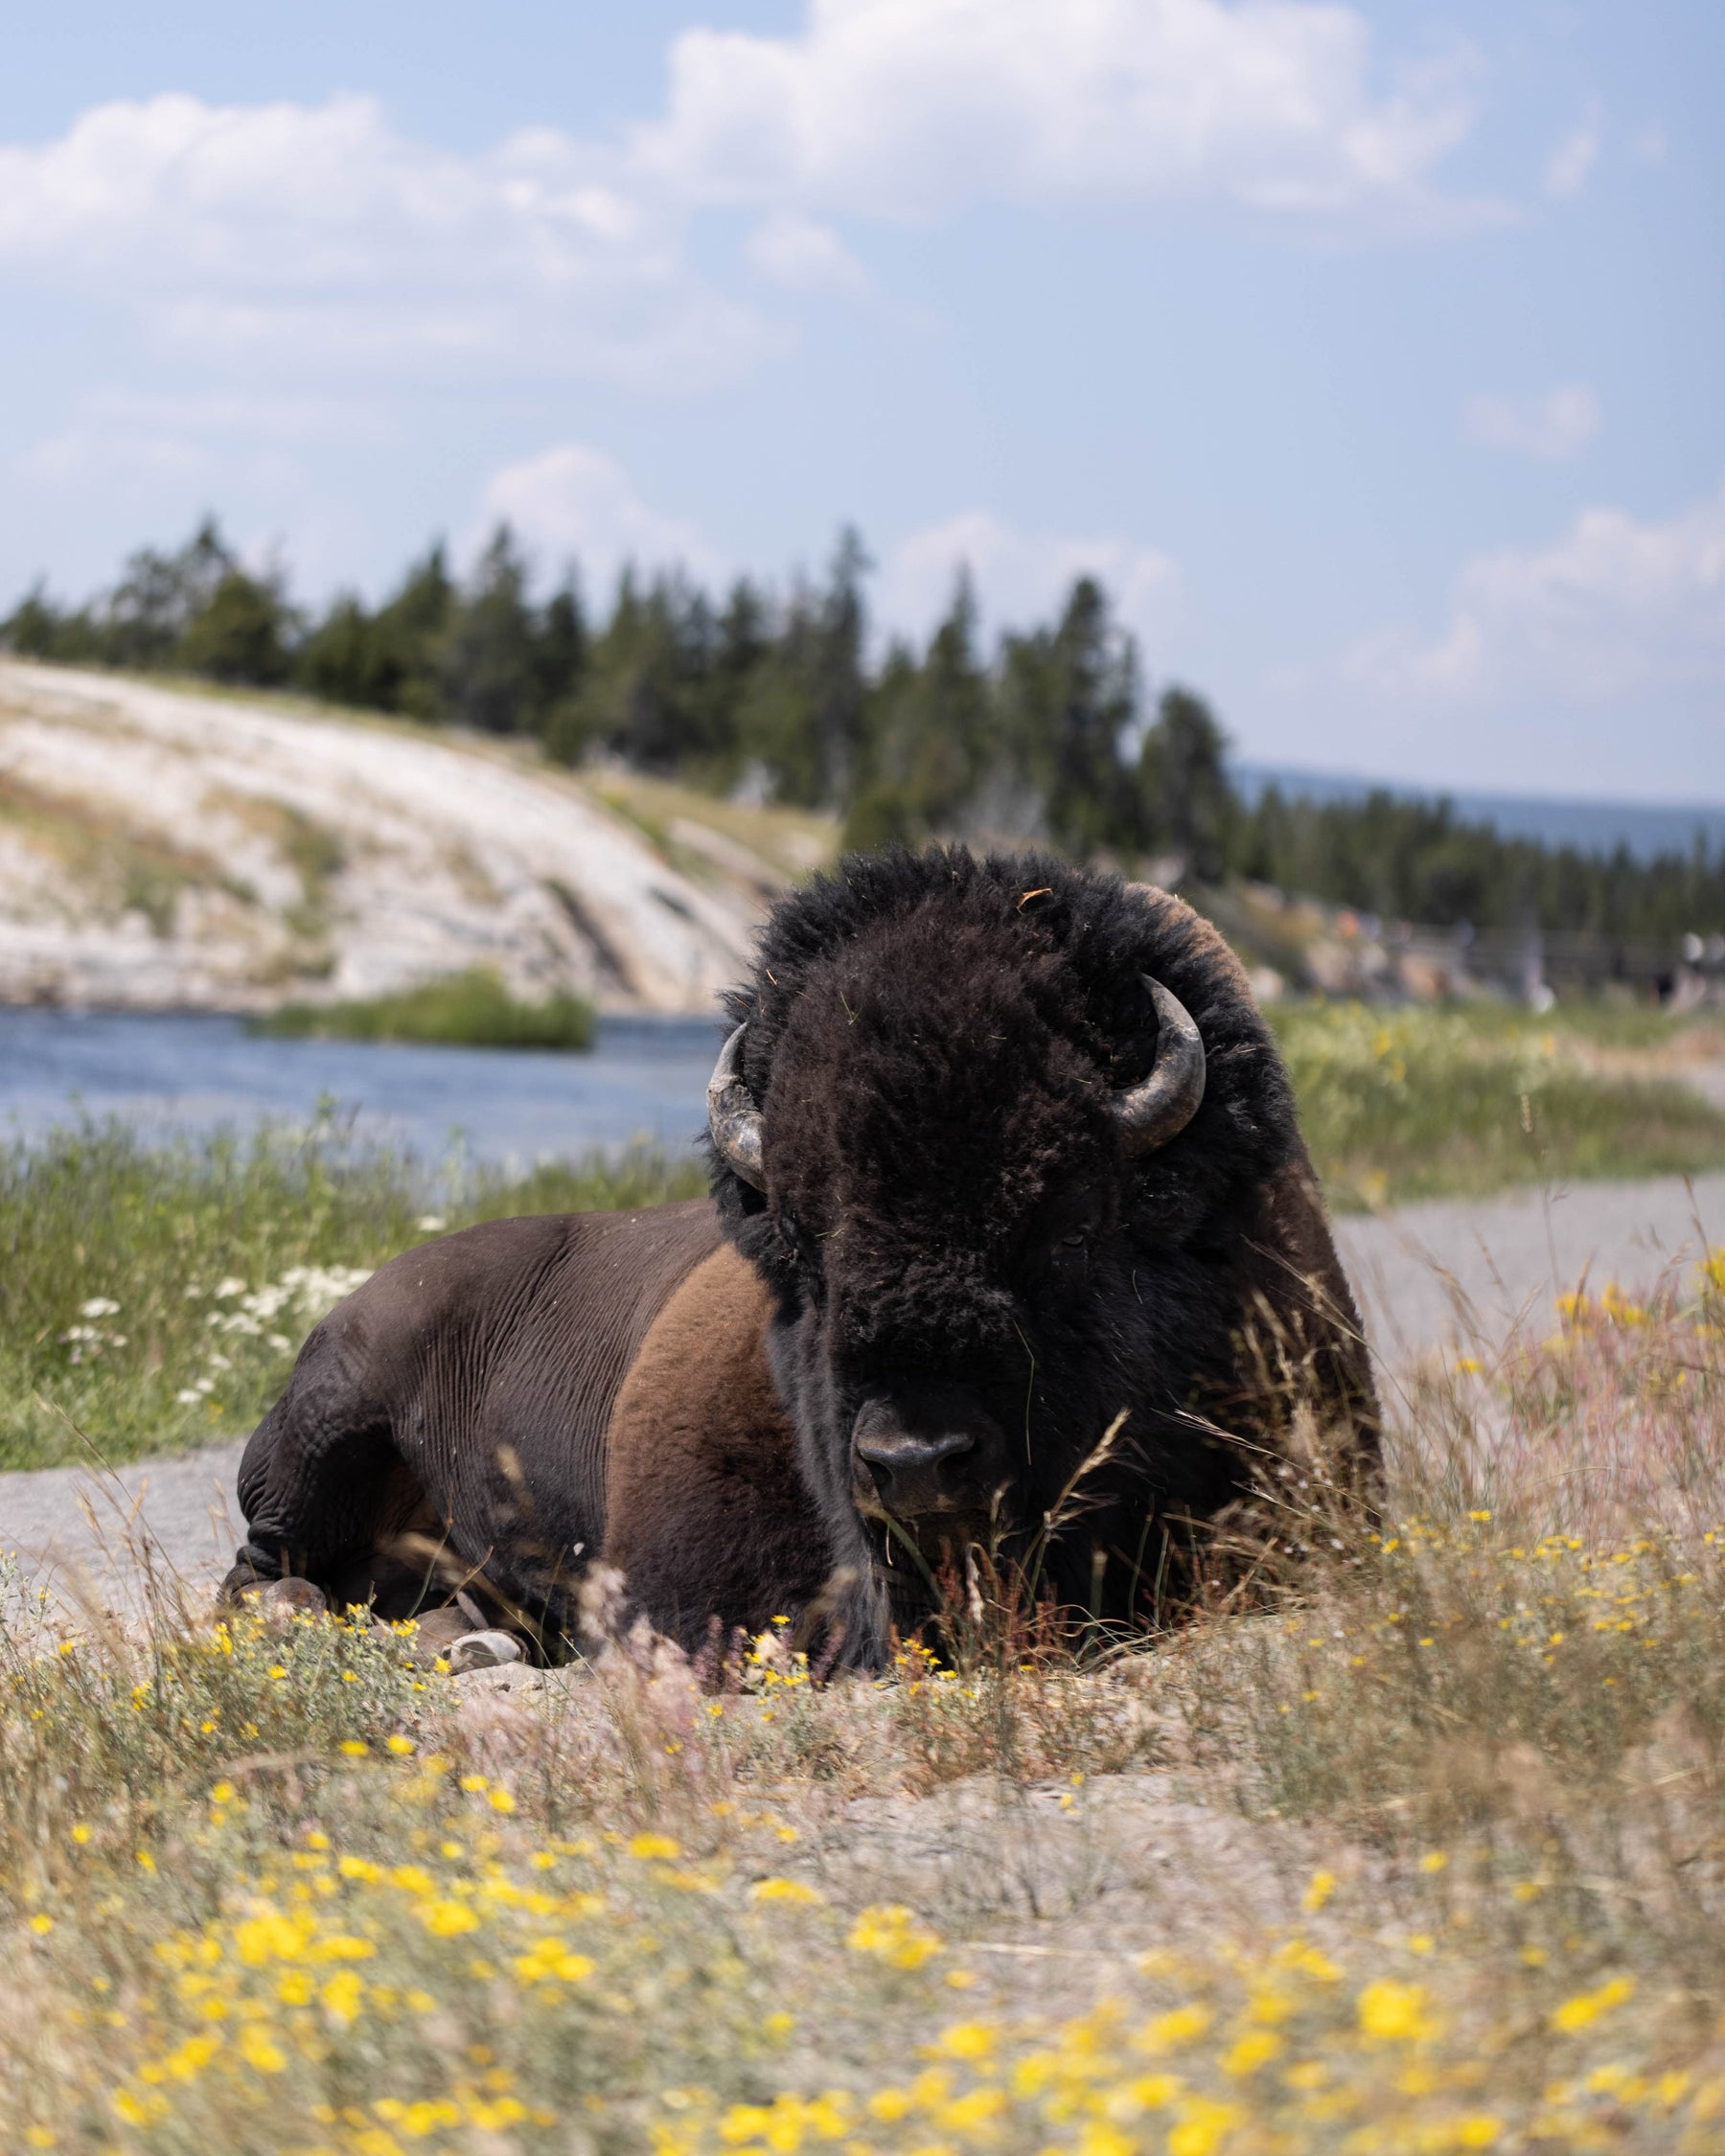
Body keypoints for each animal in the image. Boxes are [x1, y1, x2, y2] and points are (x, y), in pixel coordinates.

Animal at [223, 849, 1377, 1667]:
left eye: (1062, 1231)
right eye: (809, 1255)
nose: (914, 1462)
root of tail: (356, 1302)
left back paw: (467, 1639)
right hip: (328, 1434)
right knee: (259, 1575)